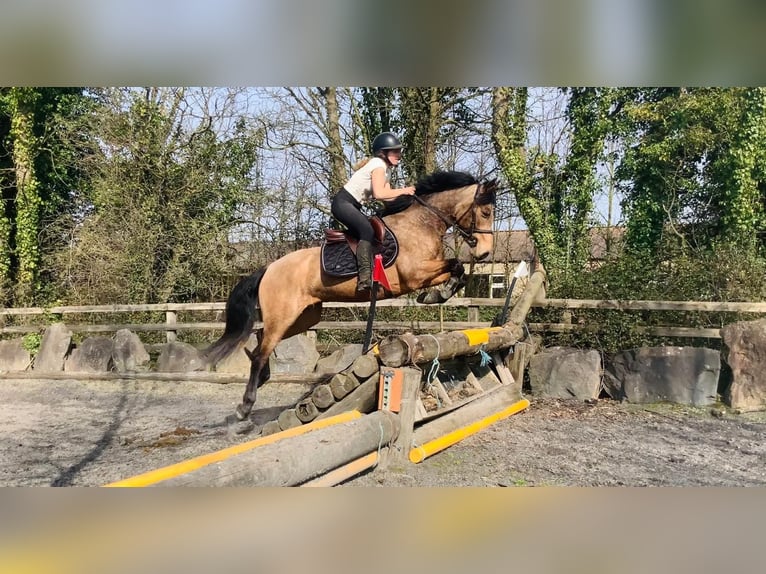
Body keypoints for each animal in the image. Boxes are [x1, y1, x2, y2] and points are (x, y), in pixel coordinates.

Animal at [202, 170, 497, 426]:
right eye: (485, 212)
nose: (485, 253)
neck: (421, 223)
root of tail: (269, 268)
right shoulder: (414, 274)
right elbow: (455, 264)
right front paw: (438, 293)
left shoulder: (426, 271)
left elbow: (457, 269)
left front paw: (437, 294)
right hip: (284, 316)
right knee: (262, 350)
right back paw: (244, 407)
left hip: (304, 317)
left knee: (261, 340)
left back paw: (261, 379)